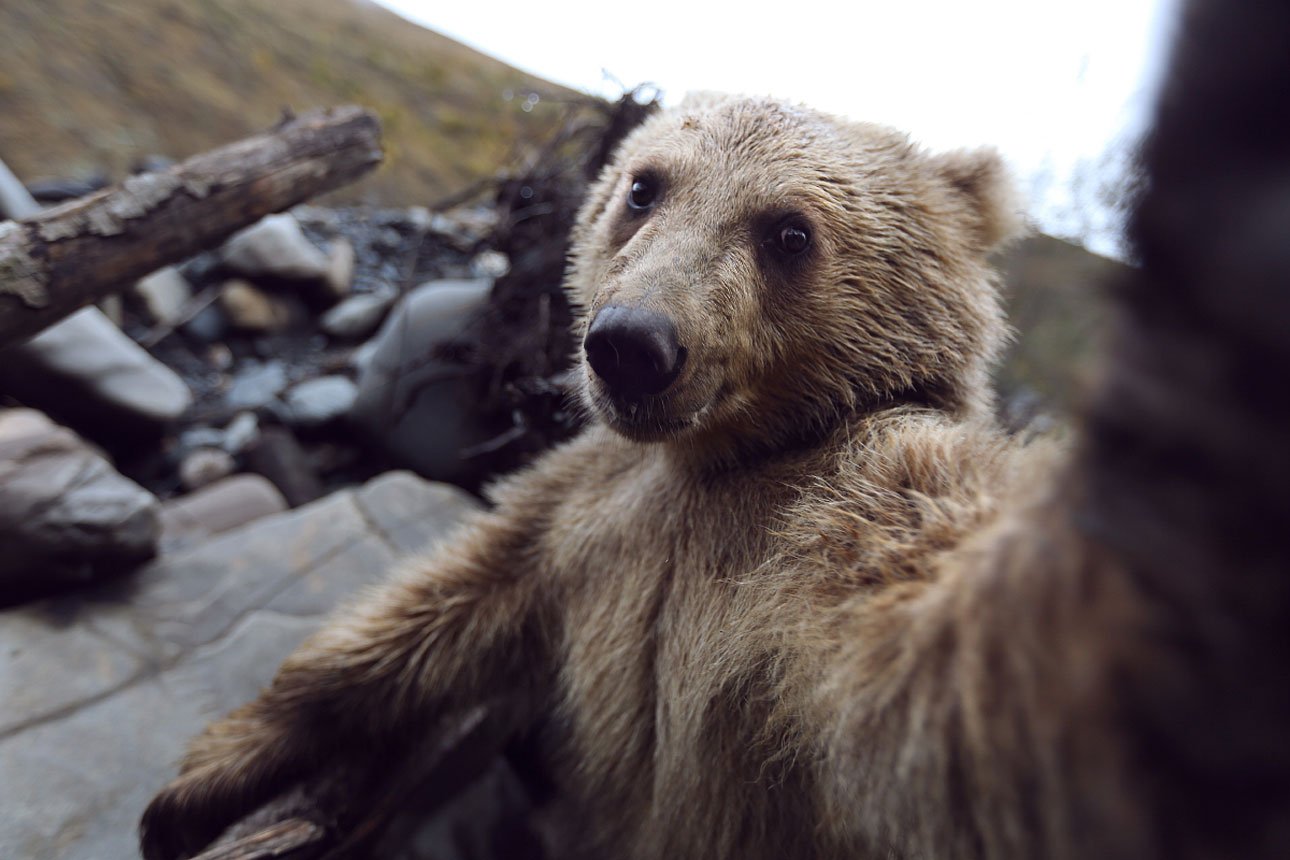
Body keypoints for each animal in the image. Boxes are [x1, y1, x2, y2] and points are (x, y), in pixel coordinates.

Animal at [141, 1, 1290, 856]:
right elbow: (444, 594)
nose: (631, 344)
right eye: (643, 188)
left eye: (788, 231)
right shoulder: (585, 505)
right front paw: (208, 771)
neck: (718, 459)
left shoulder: (825, 542)